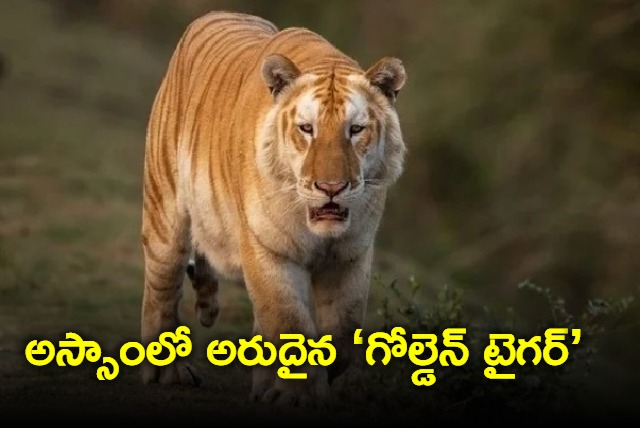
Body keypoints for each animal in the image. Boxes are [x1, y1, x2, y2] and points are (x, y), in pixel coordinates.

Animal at [142, 9, 408, 404]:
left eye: (356, 129)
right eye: (307, 129)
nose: (331, 187)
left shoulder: (351, 255)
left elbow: (344, 334)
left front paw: (296, 384)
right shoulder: (269, 249)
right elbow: (288, 322)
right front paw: (294, 394)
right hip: (165, 213)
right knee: (162, 288)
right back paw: (168, 373)